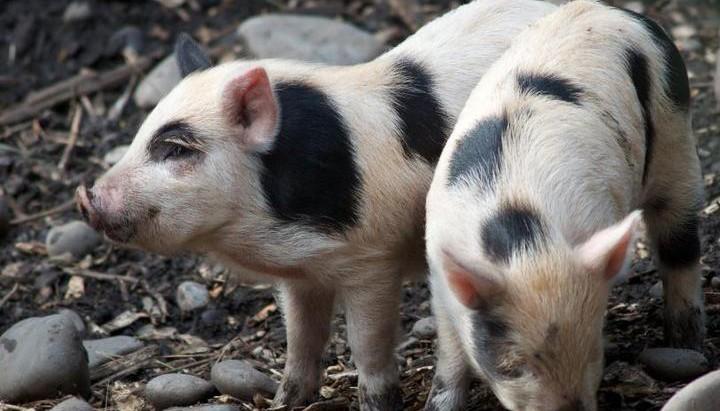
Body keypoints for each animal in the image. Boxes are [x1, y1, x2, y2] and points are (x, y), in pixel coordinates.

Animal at [75, 1, 557, 409]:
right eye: (140, 134)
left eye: (175, 149)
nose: (87, 197)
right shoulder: (302, 275)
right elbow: (301, 342)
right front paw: (283, 402)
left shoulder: (372, 261)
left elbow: (367, 347)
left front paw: (376, 403)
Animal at [424, 2, 703, 410]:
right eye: (516, 366)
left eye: (591, 352)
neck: (529, 246)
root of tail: (612, 10)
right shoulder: (441, 280)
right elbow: (451, 354)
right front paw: (440, 403)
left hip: (676, 136)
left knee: (679, 245)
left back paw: (688, 346)